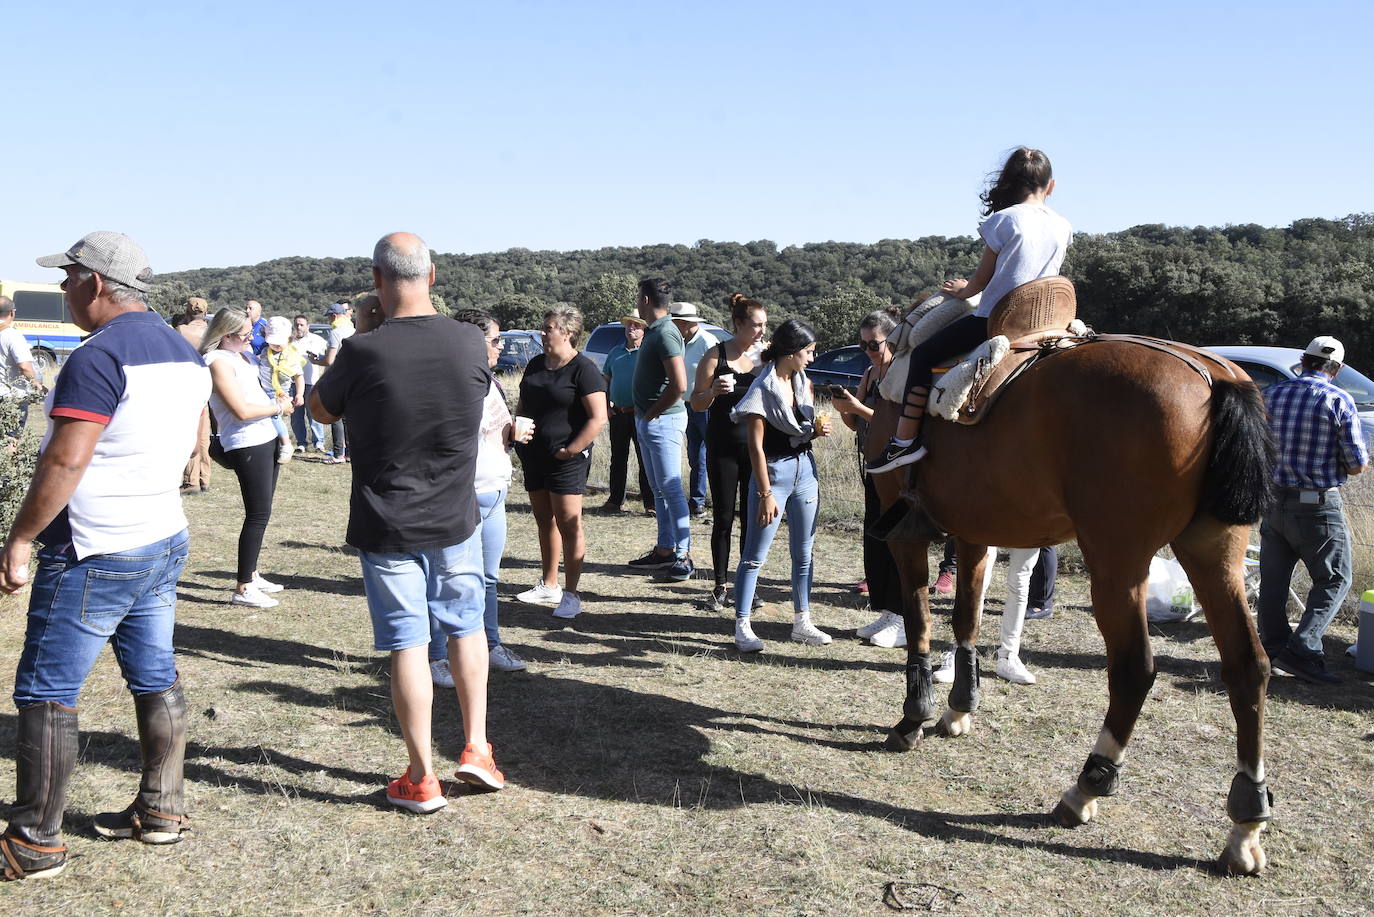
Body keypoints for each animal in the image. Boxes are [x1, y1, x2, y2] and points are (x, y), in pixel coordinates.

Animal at [868, 336, 1275, 874]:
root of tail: (1213, 376)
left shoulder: (905, 534)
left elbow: (919, 619)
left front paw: (914, 716)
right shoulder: (975, 532)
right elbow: (966, 618)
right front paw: (958, 709)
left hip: (1117, 562)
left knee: (1134, 670)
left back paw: (1086, 788)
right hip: (1215, 555)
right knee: (1248, 667)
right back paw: (1245, 825)